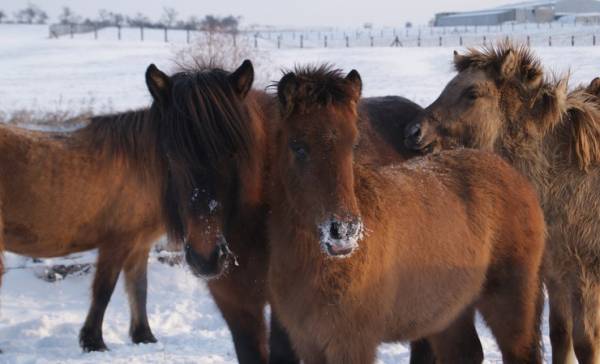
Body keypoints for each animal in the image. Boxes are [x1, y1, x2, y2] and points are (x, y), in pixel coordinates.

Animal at [0, 63, 256, 352]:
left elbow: (139, 288)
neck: (141, 165)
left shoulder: (139, 243)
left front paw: (143, 335)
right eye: (174, 152)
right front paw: (93, 341)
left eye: (234, 150)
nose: (209, 260)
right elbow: (104, 290)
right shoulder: (116, 242)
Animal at [270, 66, 548, 364]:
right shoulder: (309, 344)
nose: (342, 232)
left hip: (511, 302)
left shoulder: (352, 344)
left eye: (353, 144)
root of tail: (512, 174)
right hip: (449, 313)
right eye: (298, 146)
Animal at [404, 41, 600, 362]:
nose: (413, 132)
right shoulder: (555, 273)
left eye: (471, 92)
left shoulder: (583, 273)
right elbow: (560, 335)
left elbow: (585, 342)